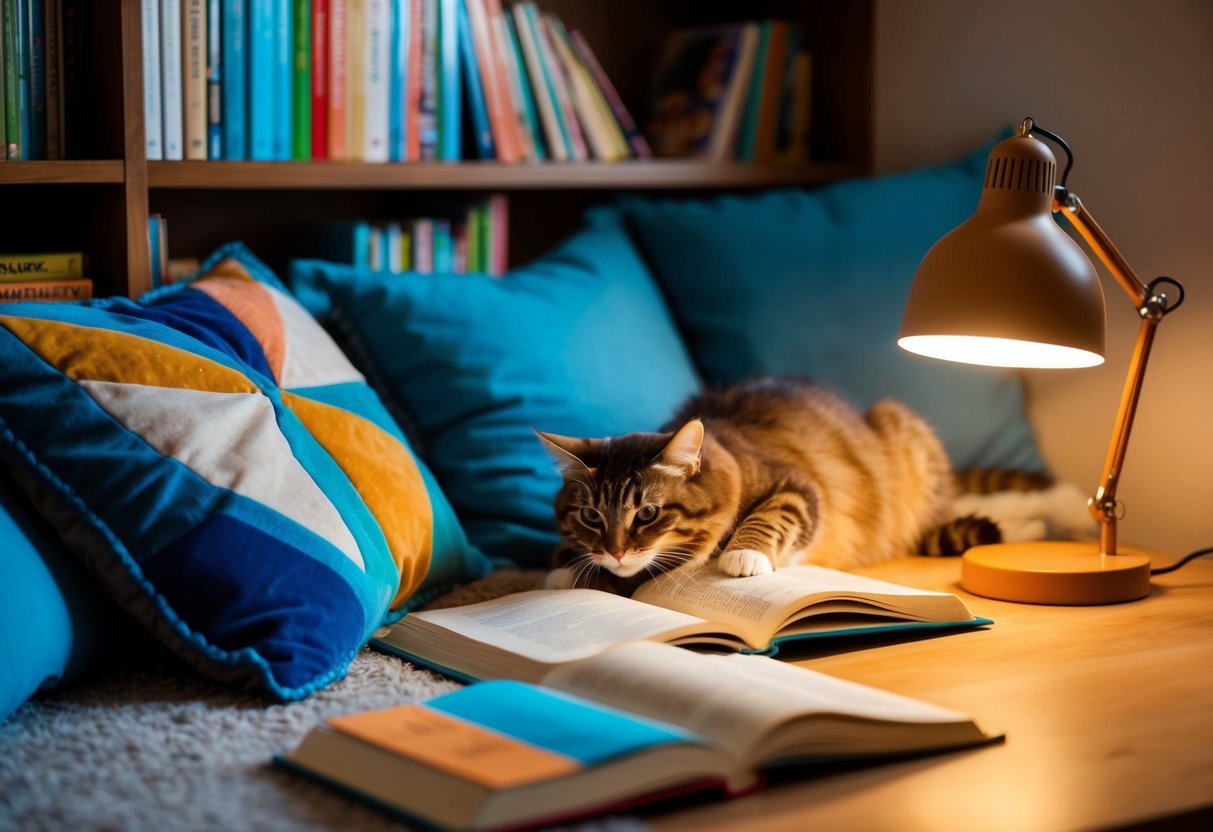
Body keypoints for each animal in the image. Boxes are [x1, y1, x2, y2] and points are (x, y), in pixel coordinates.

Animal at [540, 378, 1043, 599]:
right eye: (591, 516)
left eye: (647, 514)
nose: (615, 552)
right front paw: (568, 568)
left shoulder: (796, 486)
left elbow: (769, 518)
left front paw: (744, 556)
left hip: (904, 435)